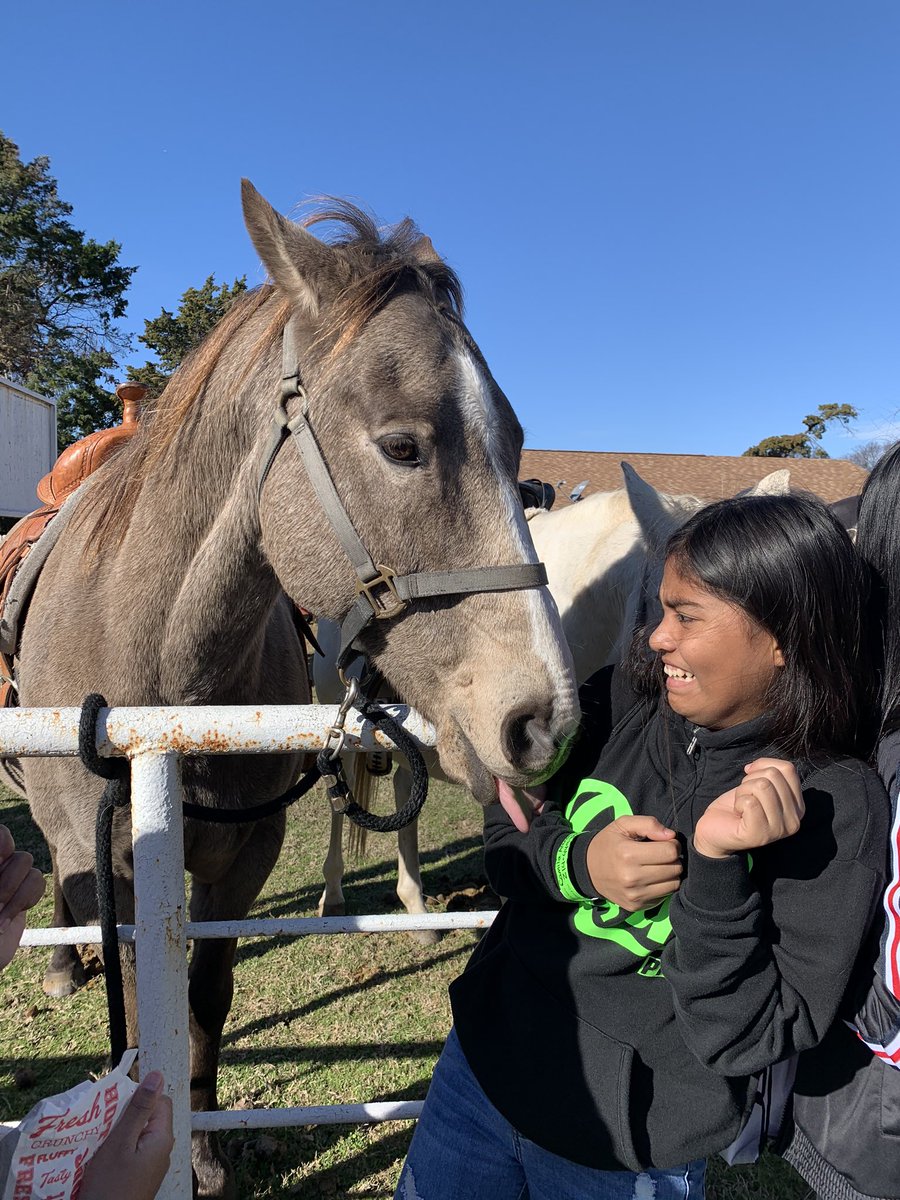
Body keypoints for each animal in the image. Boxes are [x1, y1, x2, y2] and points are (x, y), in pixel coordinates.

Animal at [17, 180, 580, 1200]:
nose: (545, 717)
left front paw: (202, 1154)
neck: (157, 684)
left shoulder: (243, 860)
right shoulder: (105, 855)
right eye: (402, 446)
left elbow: (204, 998)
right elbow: (140, 1005)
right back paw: (61, 966)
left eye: (518, 446)